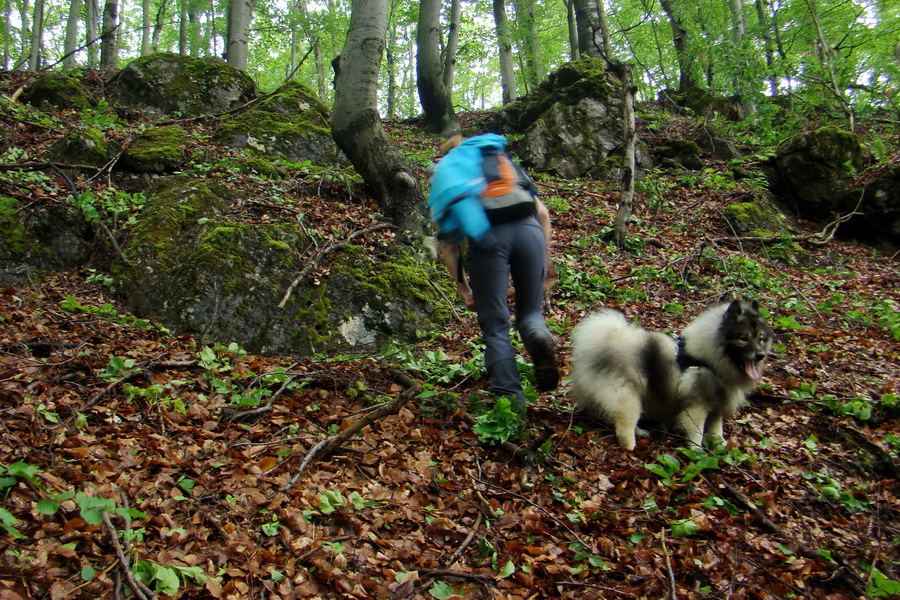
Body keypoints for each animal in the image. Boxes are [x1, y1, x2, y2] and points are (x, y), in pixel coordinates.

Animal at [568, 300, 772, 450]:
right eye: (744, 338)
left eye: (761, 338)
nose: (760, 354)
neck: (709, 358)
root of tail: (604, 343)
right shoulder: (696, 405)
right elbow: (697, 431)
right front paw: (697, 451)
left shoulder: (717, 402)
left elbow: (716, 426)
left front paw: (720, 444)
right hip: (627, 396)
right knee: (624, 425)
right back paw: (631, 446)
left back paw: (640, 432)